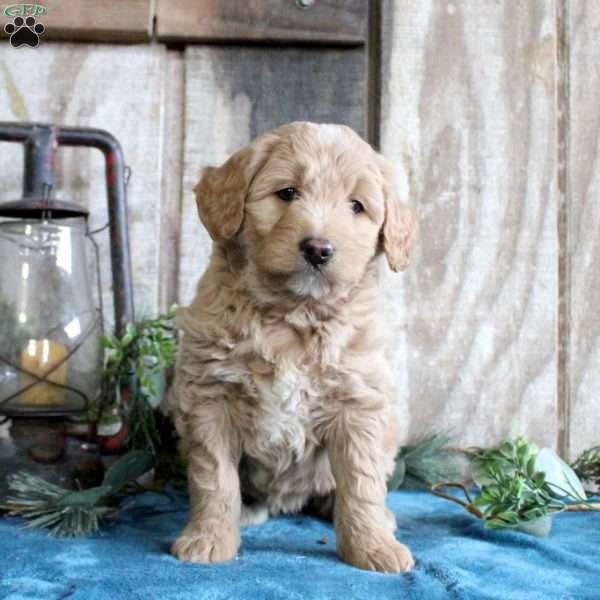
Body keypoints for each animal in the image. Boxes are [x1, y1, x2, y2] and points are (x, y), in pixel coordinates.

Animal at [171, 120, 418, 572]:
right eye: (287, 193)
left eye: (356, 206)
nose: (318, 249)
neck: (292, 316)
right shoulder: (210, 401)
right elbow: (214, 478)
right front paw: (208, 538)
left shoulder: (358, 404)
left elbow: (361, 482)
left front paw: (372, 547)